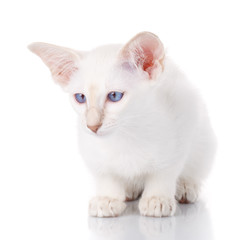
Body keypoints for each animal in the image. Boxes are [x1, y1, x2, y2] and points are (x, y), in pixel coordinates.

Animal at [28, 31, 218, 218]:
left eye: (114, 96)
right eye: (80, 97)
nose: (92, 126)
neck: (126, 133)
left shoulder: (181, 120)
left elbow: (165, 170)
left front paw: (157, 198)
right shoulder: (90, 150)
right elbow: (105, 173)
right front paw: (107, 198)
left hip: (204, 140)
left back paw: (185, 187)